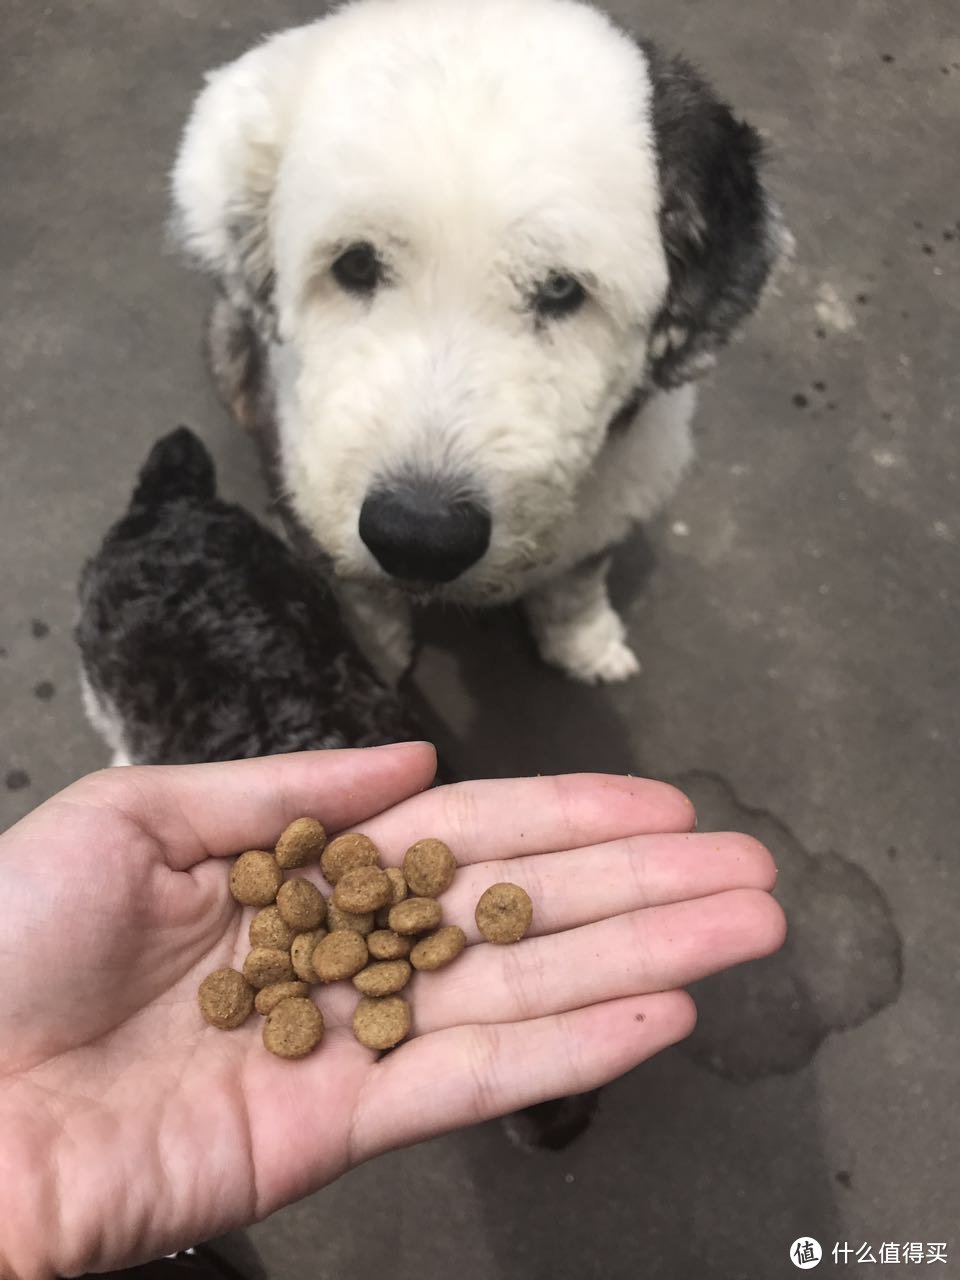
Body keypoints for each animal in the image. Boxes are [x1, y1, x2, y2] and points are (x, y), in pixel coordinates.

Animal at [175, 0, 788, 680]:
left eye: (561, 289)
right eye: (356, 264)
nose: (419, 536)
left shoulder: (618, 500)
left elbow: (577, 583)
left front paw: (587, 645)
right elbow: (364, 602)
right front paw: (375, 662)